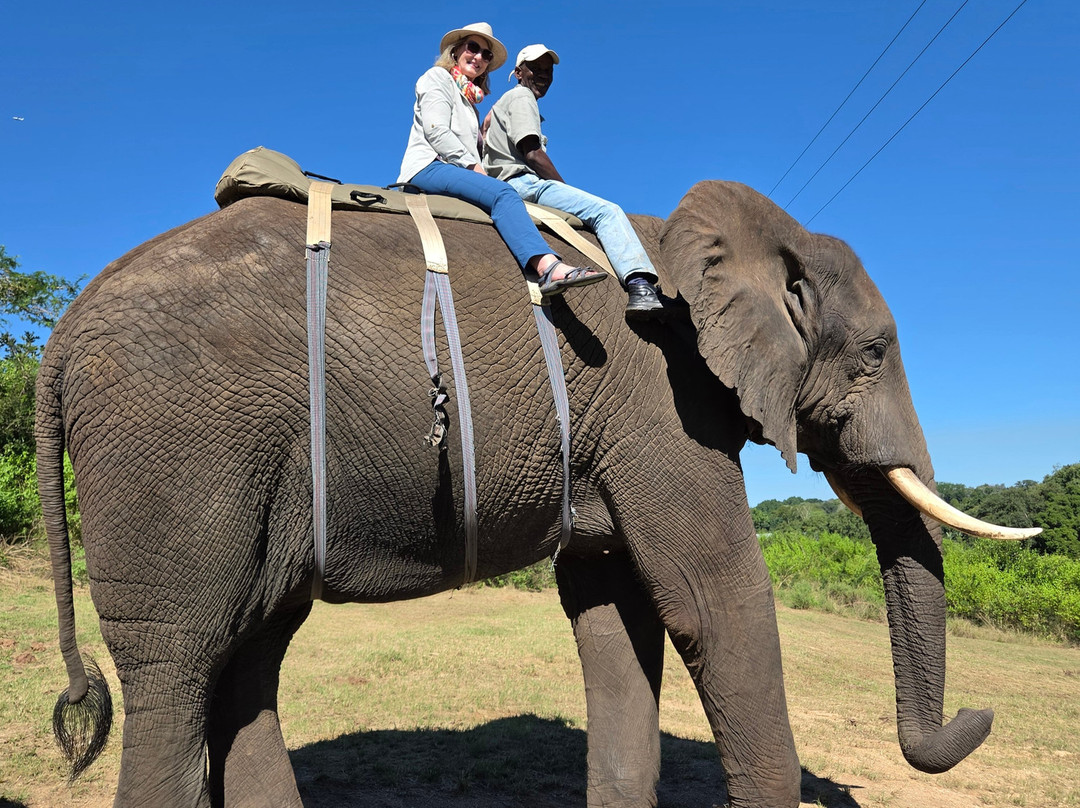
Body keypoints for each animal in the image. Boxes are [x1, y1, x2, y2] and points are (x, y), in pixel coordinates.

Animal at [39, 179, 1036, 808]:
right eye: (874, 353)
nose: (983, 713)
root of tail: (55, 343)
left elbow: (614, 617)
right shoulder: (661, 403)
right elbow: (713, 602)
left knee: (250, 650)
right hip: (171, 447)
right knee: (178, 662)